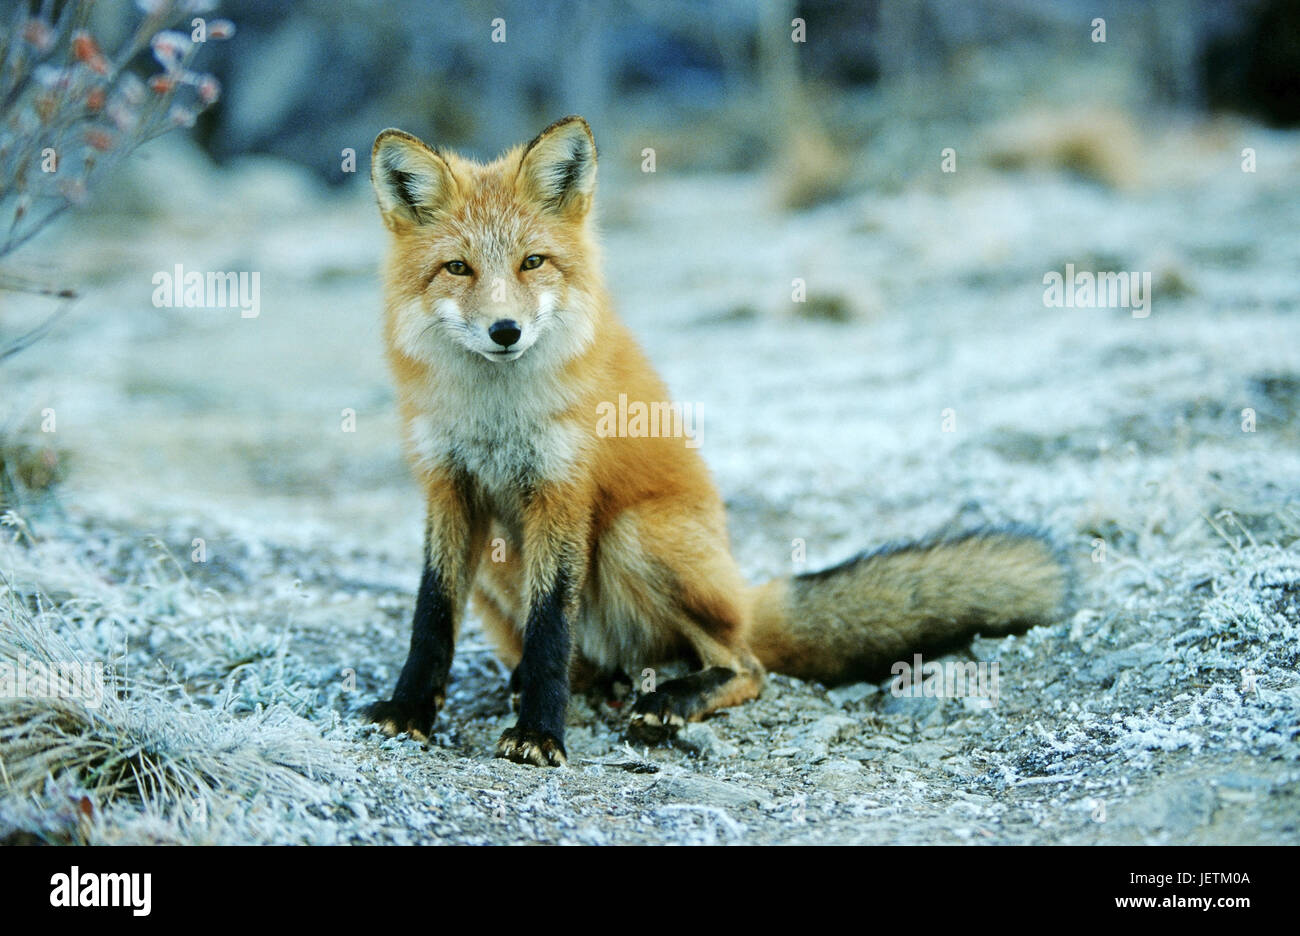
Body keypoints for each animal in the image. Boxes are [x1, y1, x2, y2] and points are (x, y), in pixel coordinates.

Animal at [361, 115, 1071, 769]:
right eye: (458, 268)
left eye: (531, 262)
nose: (505, 330)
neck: (495, 414)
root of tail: (742, 592)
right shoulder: (447, 487)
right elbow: (431, 615)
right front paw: (410, 708)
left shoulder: (563, 491)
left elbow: (549, 628)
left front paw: (540, 733)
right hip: (499, 563)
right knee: (589, 667)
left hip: (635, 536)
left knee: (747, 664)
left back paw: (674, 698)